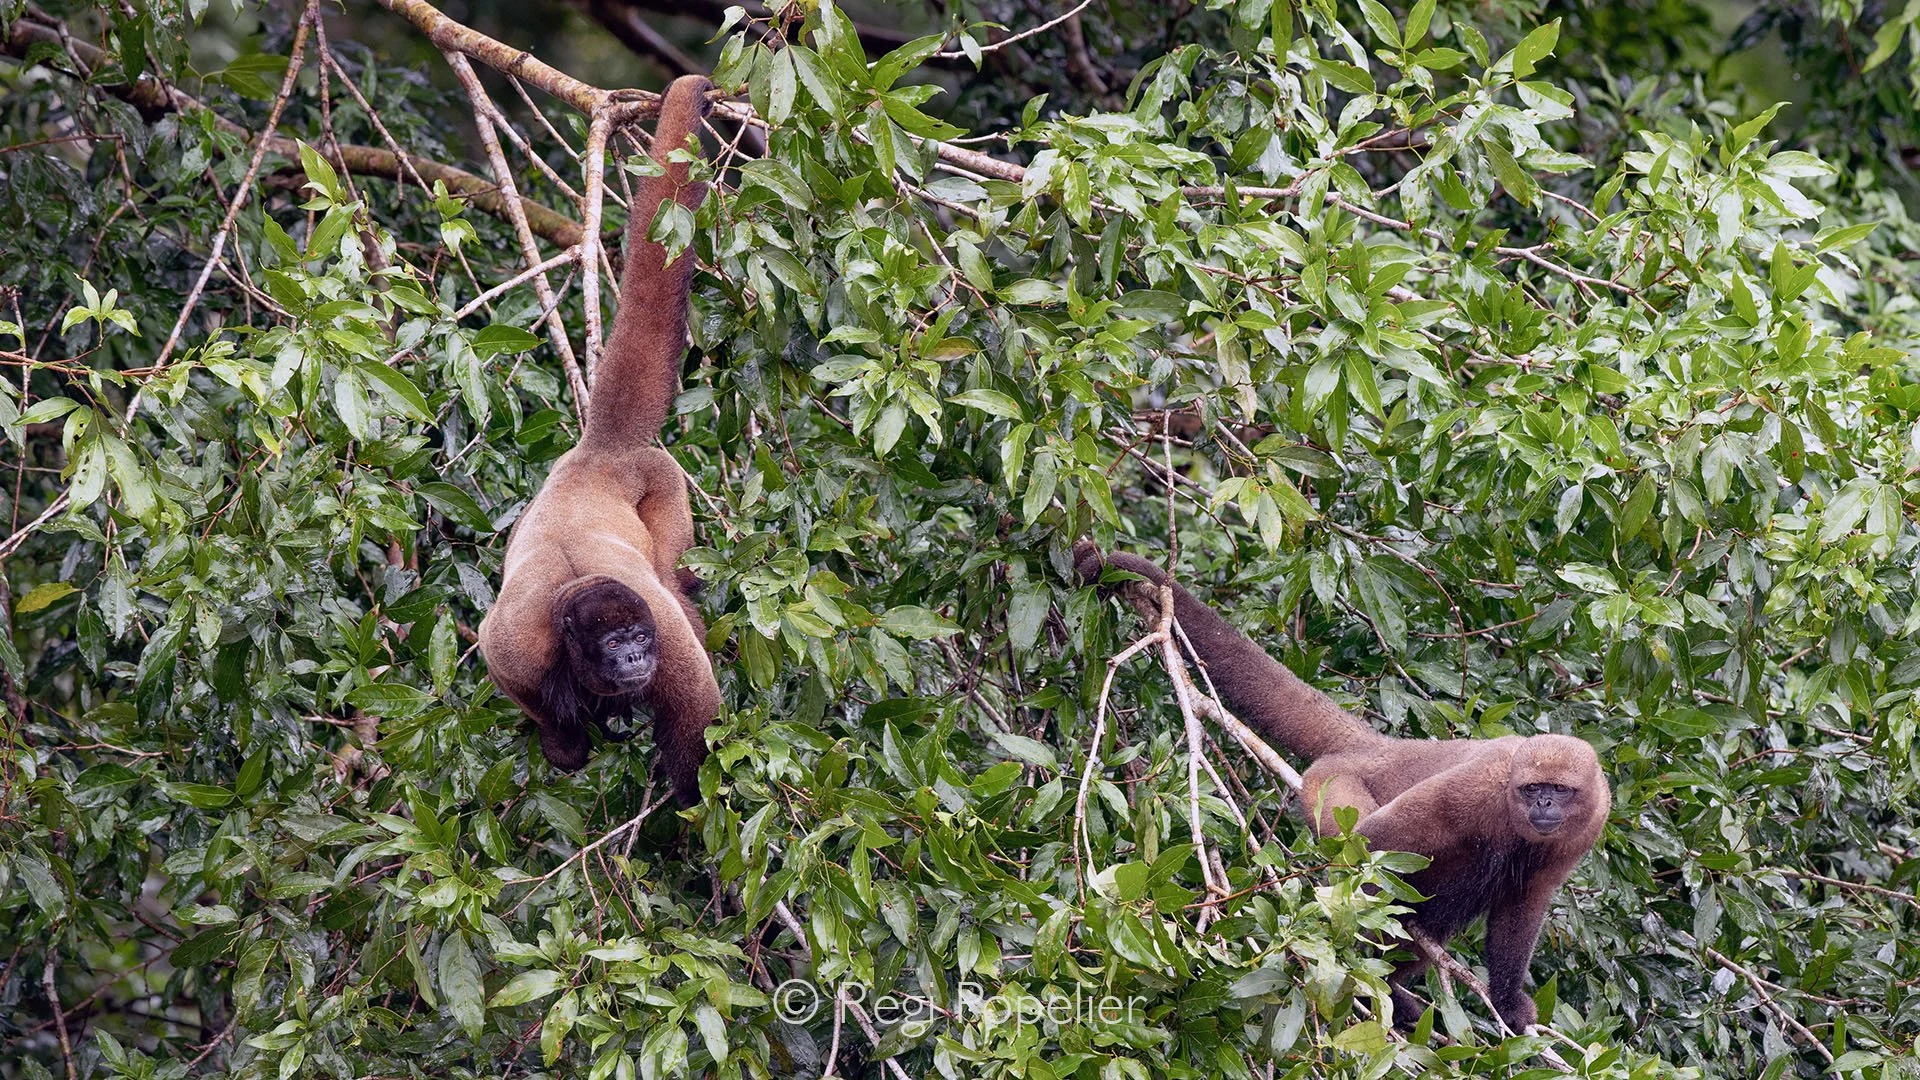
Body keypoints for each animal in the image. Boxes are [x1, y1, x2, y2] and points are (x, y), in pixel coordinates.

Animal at [478, 75, 721, 805]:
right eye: (615, 645)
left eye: (638, 637)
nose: (636, 656)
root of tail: (602, 452)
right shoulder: (516, 649)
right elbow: (518, 681)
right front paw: (565, 740)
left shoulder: (667, 642)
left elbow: (698, 714)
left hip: (664, 485)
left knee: (673, 577)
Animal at [1074, 542, 1608, 1032]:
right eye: (1533, 787)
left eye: (1559, 790)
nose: (1543, 802)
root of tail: (1378, 747)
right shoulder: (1480, 786)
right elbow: (1382, 840)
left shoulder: (1584, 829)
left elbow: (1524, 905)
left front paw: (1508, 1001)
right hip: (1332, 786)